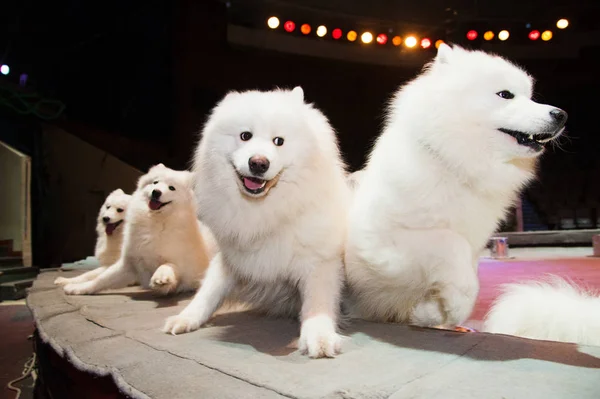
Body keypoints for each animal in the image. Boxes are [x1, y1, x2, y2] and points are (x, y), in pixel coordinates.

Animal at [61, 162, 213, 296]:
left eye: (171, 188)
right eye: (155, 183)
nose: (156, 192)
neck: (155, 221)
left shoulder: (181, 265)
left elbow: (167, 266)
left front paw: (161, 277)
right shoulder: (128, 264)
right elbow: (100, 280)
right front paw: (78, 288)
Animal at [163, 86, 352, 360]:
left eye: (279, 141)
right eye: (245, 136)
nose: (259, 163)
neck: (264, 210)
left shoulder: (320, 263)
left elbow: (317, 305)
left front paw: (319, 337)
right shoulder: (230, 258)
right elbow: (208, 292)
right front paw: (186, 318)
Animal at [342, 45, 568, 330]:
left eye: (530, 97)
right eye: (505, 95)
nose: (561, 115)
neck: (453, 165)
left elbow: (466, 271)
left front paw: (433, 313)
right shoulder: (377, 245)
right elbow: (451, 245)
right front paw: (454, 303)